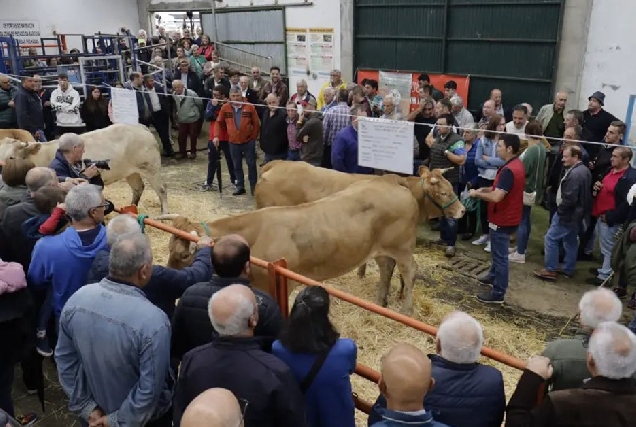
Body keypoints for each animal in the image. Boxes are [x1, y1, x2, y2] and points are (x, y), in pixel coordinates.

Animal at [0, 123, 169, 214]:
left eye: (11, 157)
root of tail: (140, 127)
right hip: (131, 172)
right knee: (138, 188)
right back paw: (130, 208)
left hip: (150, 167)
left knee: (161, 190)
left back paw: (164, 215)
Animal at [161, 176, 424, 316]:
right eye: (169, 248)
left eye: (183, 255)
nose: (170, 278)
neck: (255, 234)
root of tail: (391, 181)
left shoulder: (280, 284)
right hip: (381, 248)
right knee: (386, 268)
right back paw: (380, 303)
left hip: (403, 247)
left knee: (409, 272)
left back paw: (406, 310)